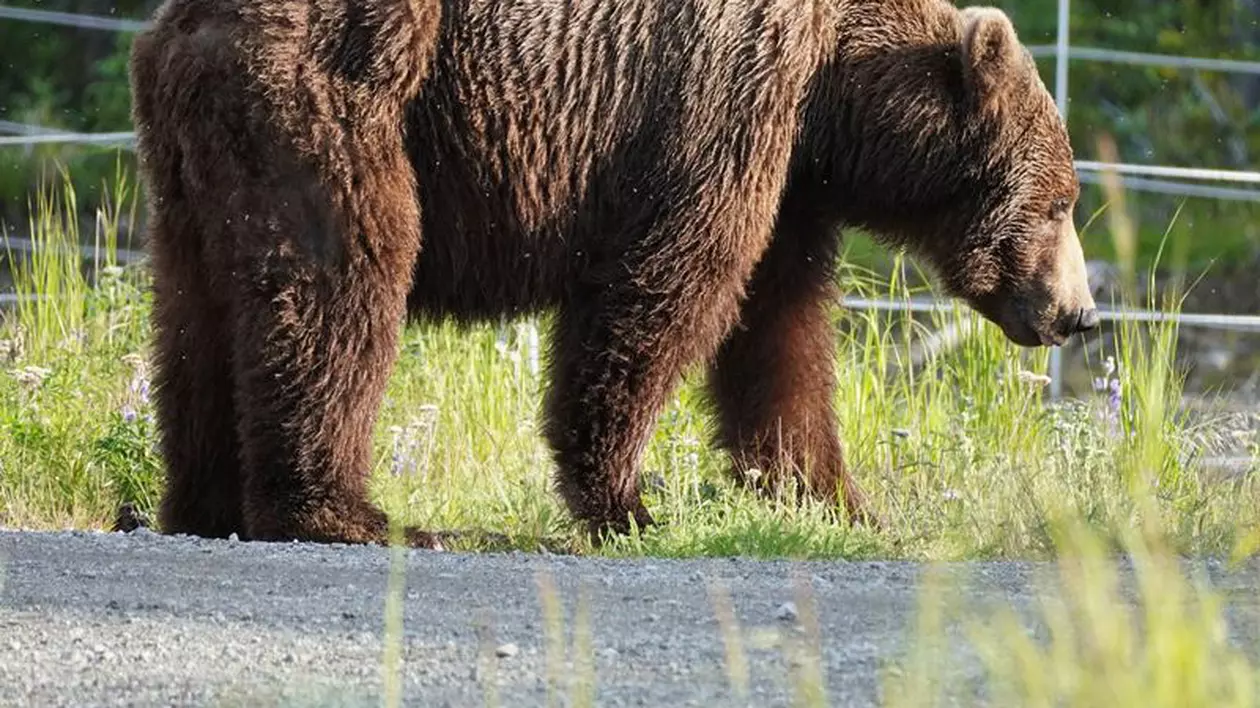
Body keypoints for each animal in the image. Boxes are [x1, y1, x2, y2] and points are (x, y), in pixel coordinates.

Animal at [125, 0, 1093, 546]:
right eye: (1060, 201)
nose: (1077, 312)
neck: (833, 99)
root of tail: (189, 25)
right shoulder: (722, 105)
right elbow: (664, 290)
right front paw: (629, 501)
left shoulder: (789, 183)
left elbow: (778, 338)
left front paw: (835, 503)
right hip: (341, 100)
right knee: (342, 283)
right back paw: (349, 515)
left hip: (190, 160)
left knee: (195, 319)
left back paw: (204, 503)